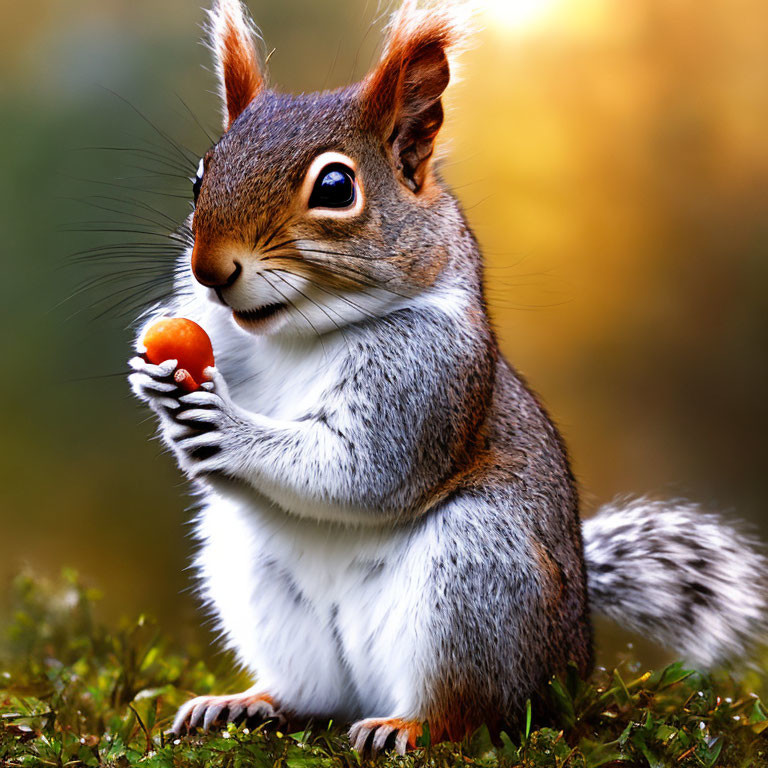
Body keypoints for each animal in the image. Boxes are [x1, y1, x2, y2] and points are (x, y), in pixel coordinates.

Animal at [129, 0, 764, 756]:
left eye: (336, 188)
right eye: (201, 177)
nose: (209, 269)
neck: (296, 335)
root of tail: (574, 654)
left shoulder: (429, 380)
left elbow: (364, 468)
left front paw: (227, 427)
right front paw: (154, 377)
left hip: (475, 581)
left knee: (471, 710)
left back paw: (406, 726)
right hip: (254, 578)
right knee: (311, 694)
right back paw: (247, 704)